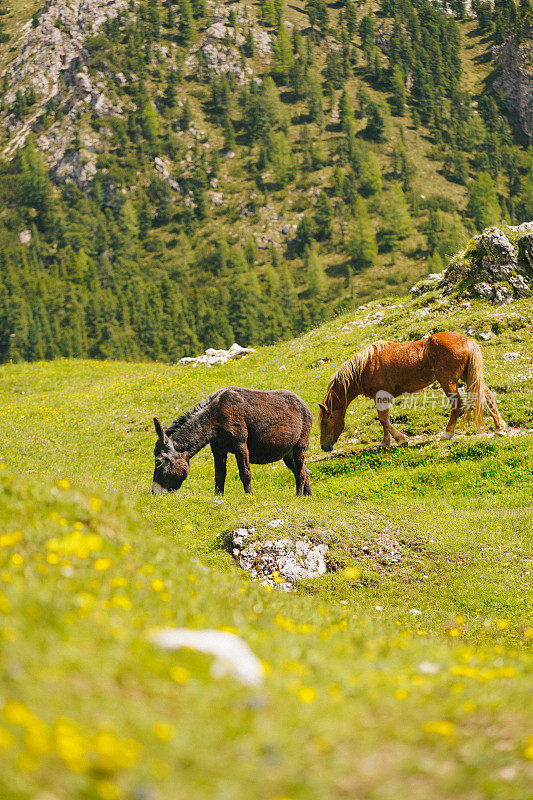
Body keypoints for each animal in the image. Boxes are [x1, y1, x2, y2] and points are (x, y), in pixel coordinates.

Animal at [318, 332, 504, 454]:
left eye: (325, 423)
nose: (324, 447)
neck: (364, 367)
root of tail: (467, 340)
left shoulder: (382, 396)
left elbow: (383, 419)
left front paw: (401, 440)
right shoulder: (380, 398)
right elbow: (383, 420)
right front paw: (385, 443)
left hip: (448, 381)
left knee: (457, 405)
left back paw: (447, 433)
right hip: (468, 376)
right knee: (487, 395)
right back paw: (499, 428)